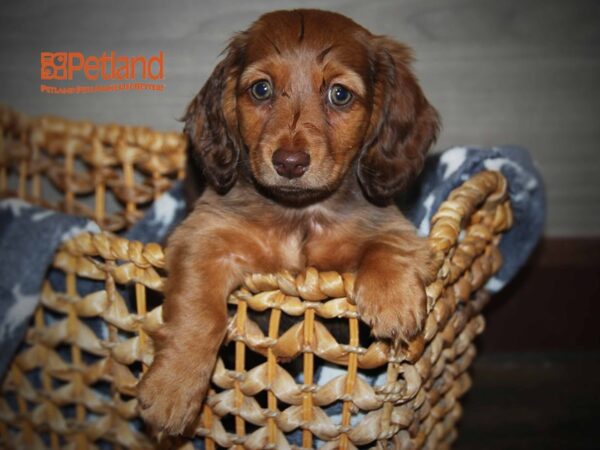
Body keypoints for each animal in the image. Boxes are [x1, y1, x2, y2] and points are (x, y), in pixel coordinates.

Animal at [139, 8, 440, 434]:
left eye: (339, 94)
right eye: (261, 89)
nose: (290, 163)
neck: (299, 214)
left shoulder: (389, 222)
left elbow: (387, 242)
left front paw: (393, 300)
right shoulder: (204, 236)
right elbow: (199, 313)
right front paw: (173, 389)